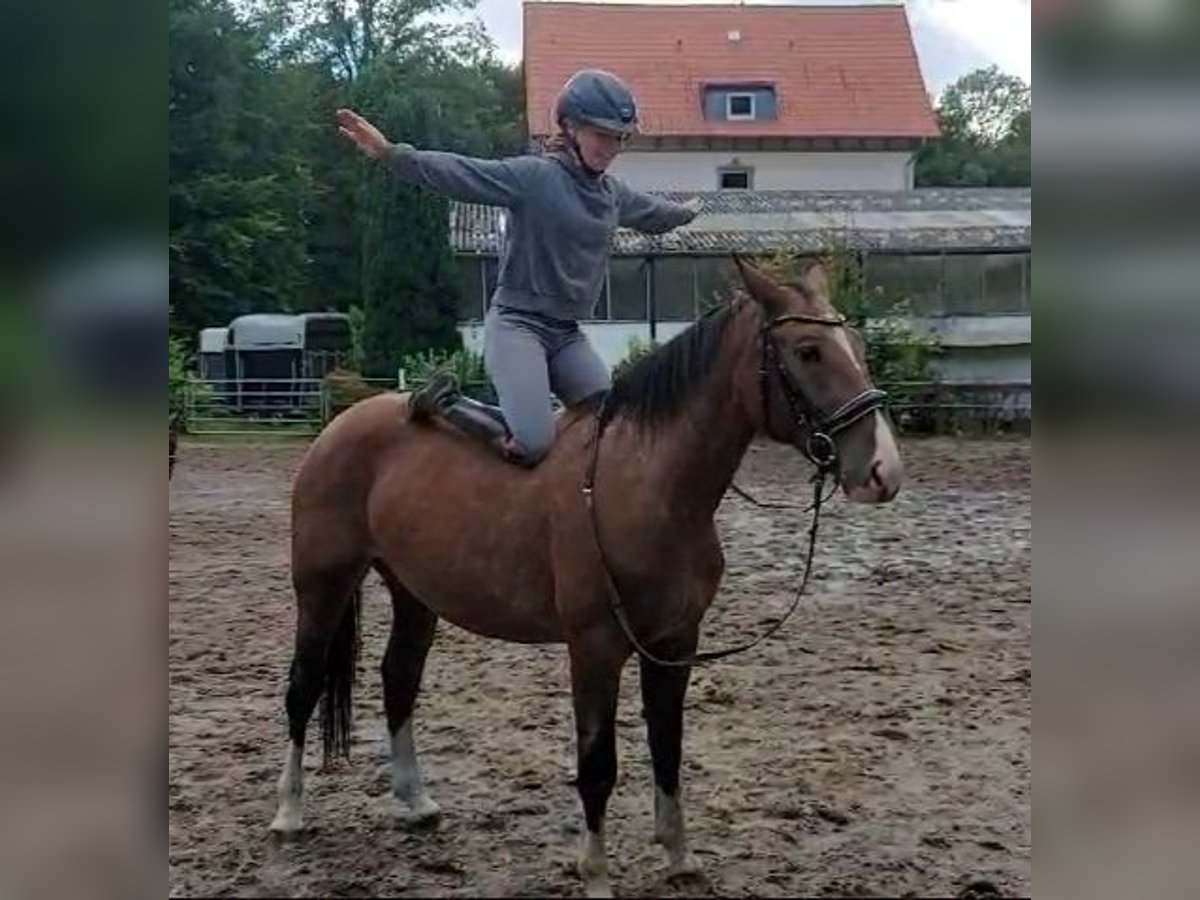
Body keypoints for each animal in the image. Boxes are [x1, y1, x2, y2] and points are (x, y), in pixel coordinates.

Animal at [270, 256, 902, 897]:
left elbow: (667, 746)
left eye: (856, 346)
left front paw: (678, 856)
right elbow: (597, 765)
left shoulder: (675, 643)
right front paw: (596, 873)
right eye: (808, 351)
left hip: (415, 594)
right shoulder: (595, 649)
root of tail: (345, 421)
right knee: (303, 687)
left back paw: (415, 800)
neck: (648, 484)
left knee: (398, 678)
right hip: (322, 586)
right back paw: (289, 813)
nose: (882, 470)